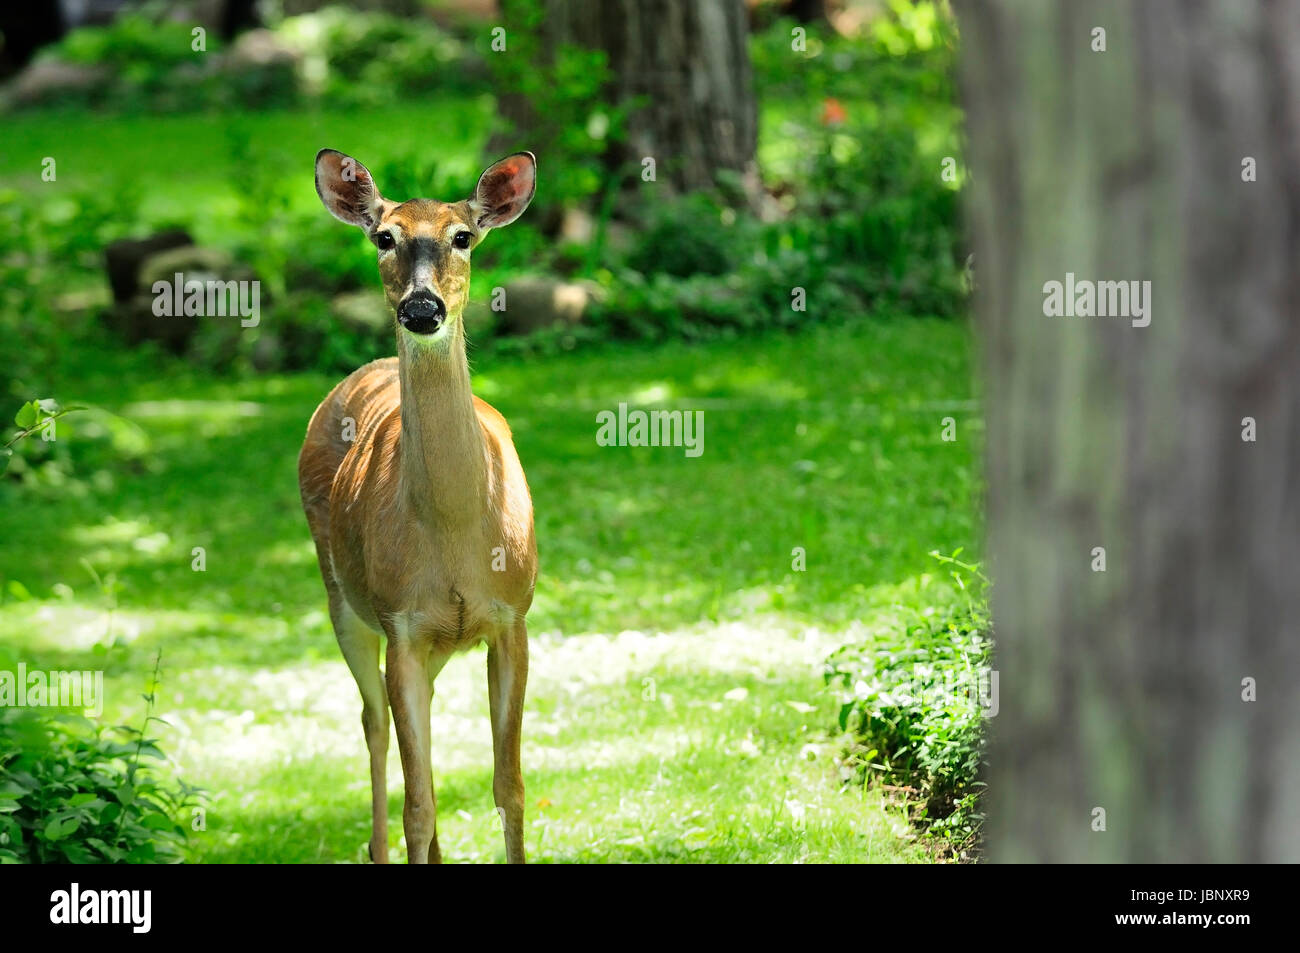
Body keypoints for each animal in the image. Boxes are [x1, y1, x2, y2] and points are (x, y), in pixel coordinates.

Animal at [298, 149, 539, 864]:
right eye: (385, 236)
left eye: (463, 236)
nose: (422, 306)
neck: (457, 530)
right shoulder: (400, 622)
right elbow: (420, 805)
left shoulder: (513, 615)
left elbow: (509, 789)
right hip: (343, 598)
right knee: (375, 725)